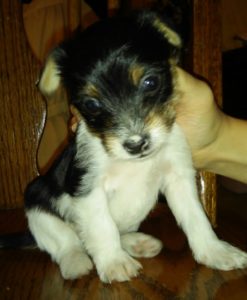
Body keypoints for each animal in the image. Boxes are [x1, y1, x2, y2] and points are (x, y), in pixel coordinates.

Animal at [23, 11, 247, 284]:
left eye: (150, 82)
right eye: (92, 104)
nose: (136, 144)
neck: (134, 163)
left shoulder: (178, 178)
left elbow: (196, 217)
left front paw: (215, 251)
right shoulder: (87, 188)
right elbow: (102, 226)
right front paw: (114, 263)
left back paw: (136, 243)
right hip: (38, 203)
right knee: (67, 242)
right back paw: (76, 261)